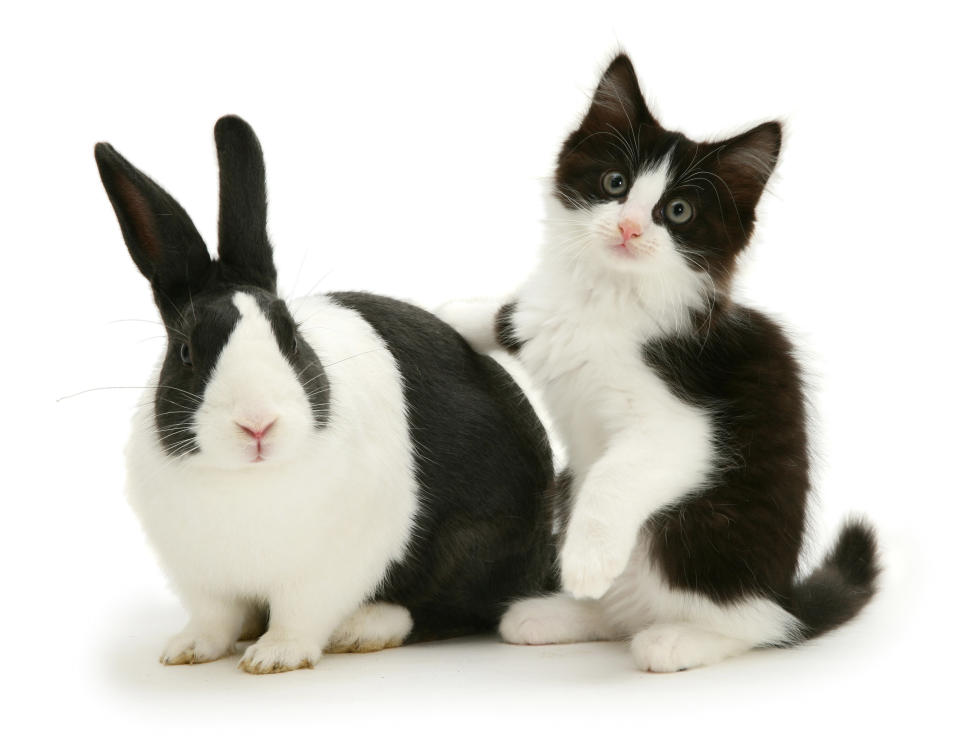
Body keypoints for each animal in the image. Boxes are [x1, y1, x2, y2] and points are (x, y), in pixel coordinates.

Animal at [94, 115, 560, 672]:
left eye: (291, 338)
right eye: (186, 352)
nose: (257, 424)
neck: (247, 479)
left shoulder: (324, 574)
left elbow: (301, 615)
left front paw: (273, 658)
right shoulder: (203, 579)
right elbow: (214, 618)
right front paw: (187, 649)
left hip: (478, 539)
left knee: (460, 607)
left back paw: (363, 627)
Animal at [440, 54, 876, 668]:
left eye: (677, 211)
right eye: (615, 183)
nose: (629, 227)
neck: (605, 297)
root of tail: (782, 593)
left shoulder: (682, 421)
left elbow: (615, 477)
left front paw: (586, 561)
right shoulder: (546, 315)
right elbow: (515, 317)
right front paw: (454, 313)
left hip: (701, 532)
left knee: (756, 626)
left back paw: (674, 639)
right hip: (568, 490)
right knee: (621, 615)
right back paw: (558, 614)